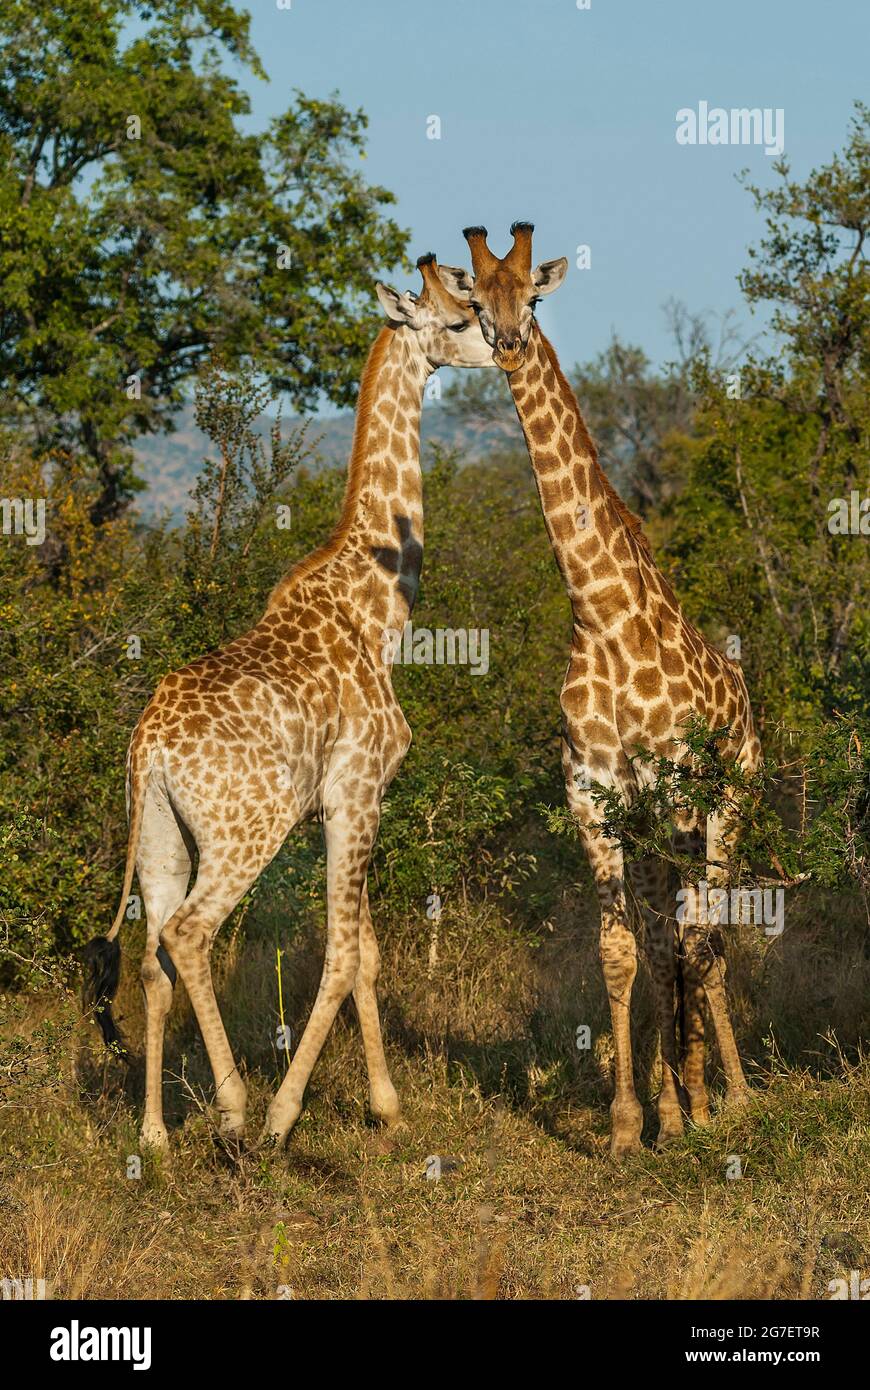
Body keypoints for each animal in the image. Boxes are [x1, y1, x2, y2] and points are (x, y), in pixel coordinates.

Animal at [83, 252, 491, 1150]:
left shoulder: (345, 803)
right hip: (246, 829)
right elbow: (341, 955)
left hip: (157, 832)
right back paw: (235, 1111)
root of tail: (148, 747)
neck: (380, 611)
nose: (504, 346)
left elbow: (365, 952)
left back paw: (154, 1135)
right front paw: (286, 1114)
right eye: (459, 314)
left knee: (150, 958)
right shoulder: (358, 790)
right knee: (189, 935)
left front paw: (387, 1107)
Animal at [447, 227, 756, 1156]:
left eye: (532, 296)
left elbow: (690, 946)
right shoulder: (595, 797)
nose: (510, 344)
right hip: (660, 825)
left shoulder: (682, 792)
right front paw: (630, 1123)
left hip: (732, 797)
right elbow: (622, 951)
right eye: (475, 302)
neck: (602, 610)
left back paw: (732, 1097)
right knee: (669, 939)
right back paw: (675, 1095)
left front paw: (699, 1109)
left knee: (711, 935)